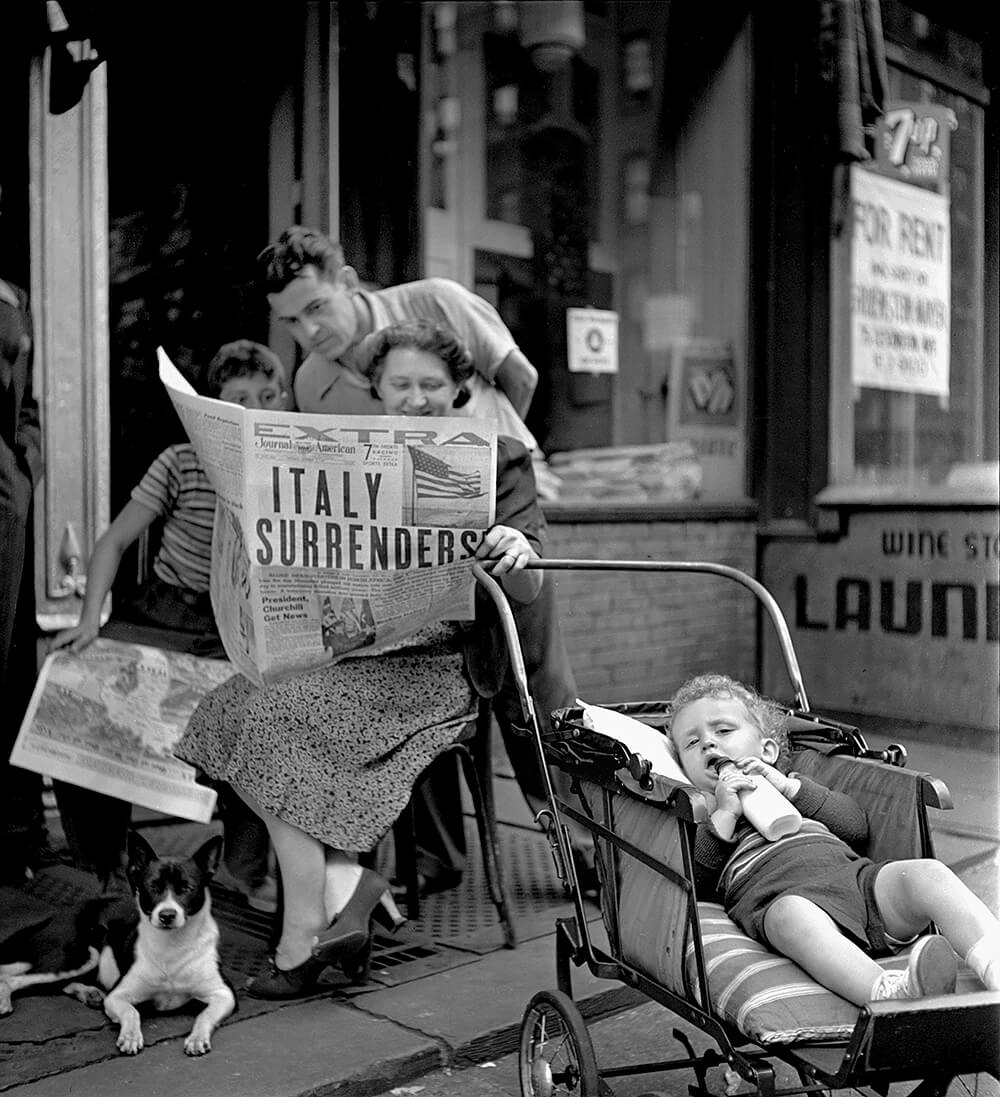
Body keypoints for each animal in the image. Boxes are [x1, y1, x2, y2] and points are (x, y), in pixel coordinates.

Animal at [77, 833, 236, 1057]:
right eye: (153, 887)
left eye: (186, 888)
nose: (167, 915)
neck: (173, 944)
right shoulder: (116, 996)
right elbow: (132, 1012)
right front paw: (130, 1037)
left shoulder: (224, 993)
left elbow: (204, 1015)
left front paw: (197, 1039)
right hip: (88, 950)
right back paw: (87, 992)